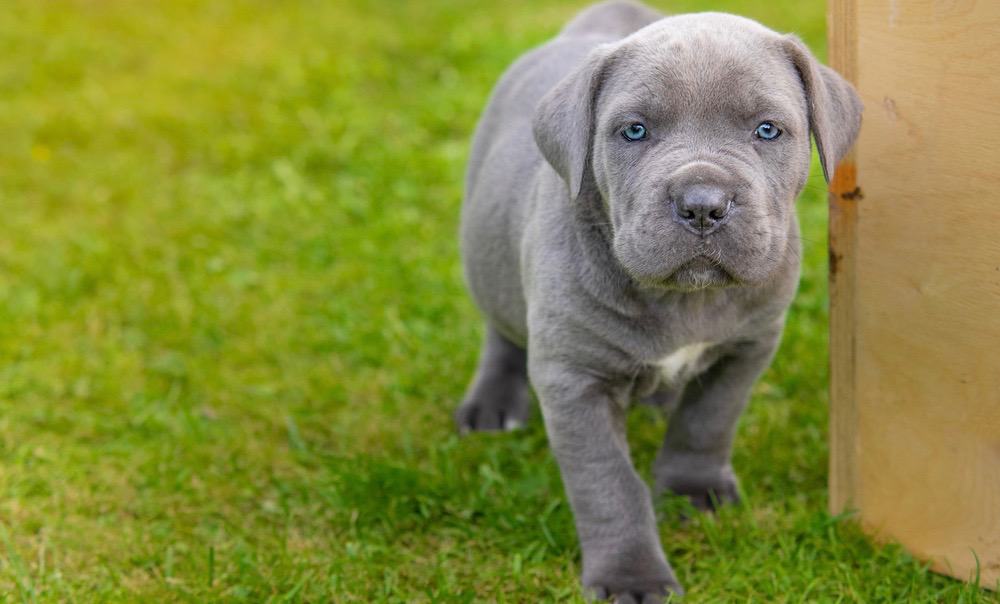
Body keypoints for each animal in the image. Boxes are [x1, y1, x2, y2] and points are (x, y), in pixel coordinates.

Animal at [458, 1, 864, 600]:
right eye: (634, 131)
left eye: (767, 130)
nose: (703, 204)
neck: (685, 300)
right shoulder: (573, 379)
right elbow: (608, 484)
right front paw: (631, 575)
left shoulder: (749, 345)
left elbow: (707, 421)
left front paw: (694, 492)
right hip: (485, 248)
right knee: (500, 328)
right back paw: (491, 405)